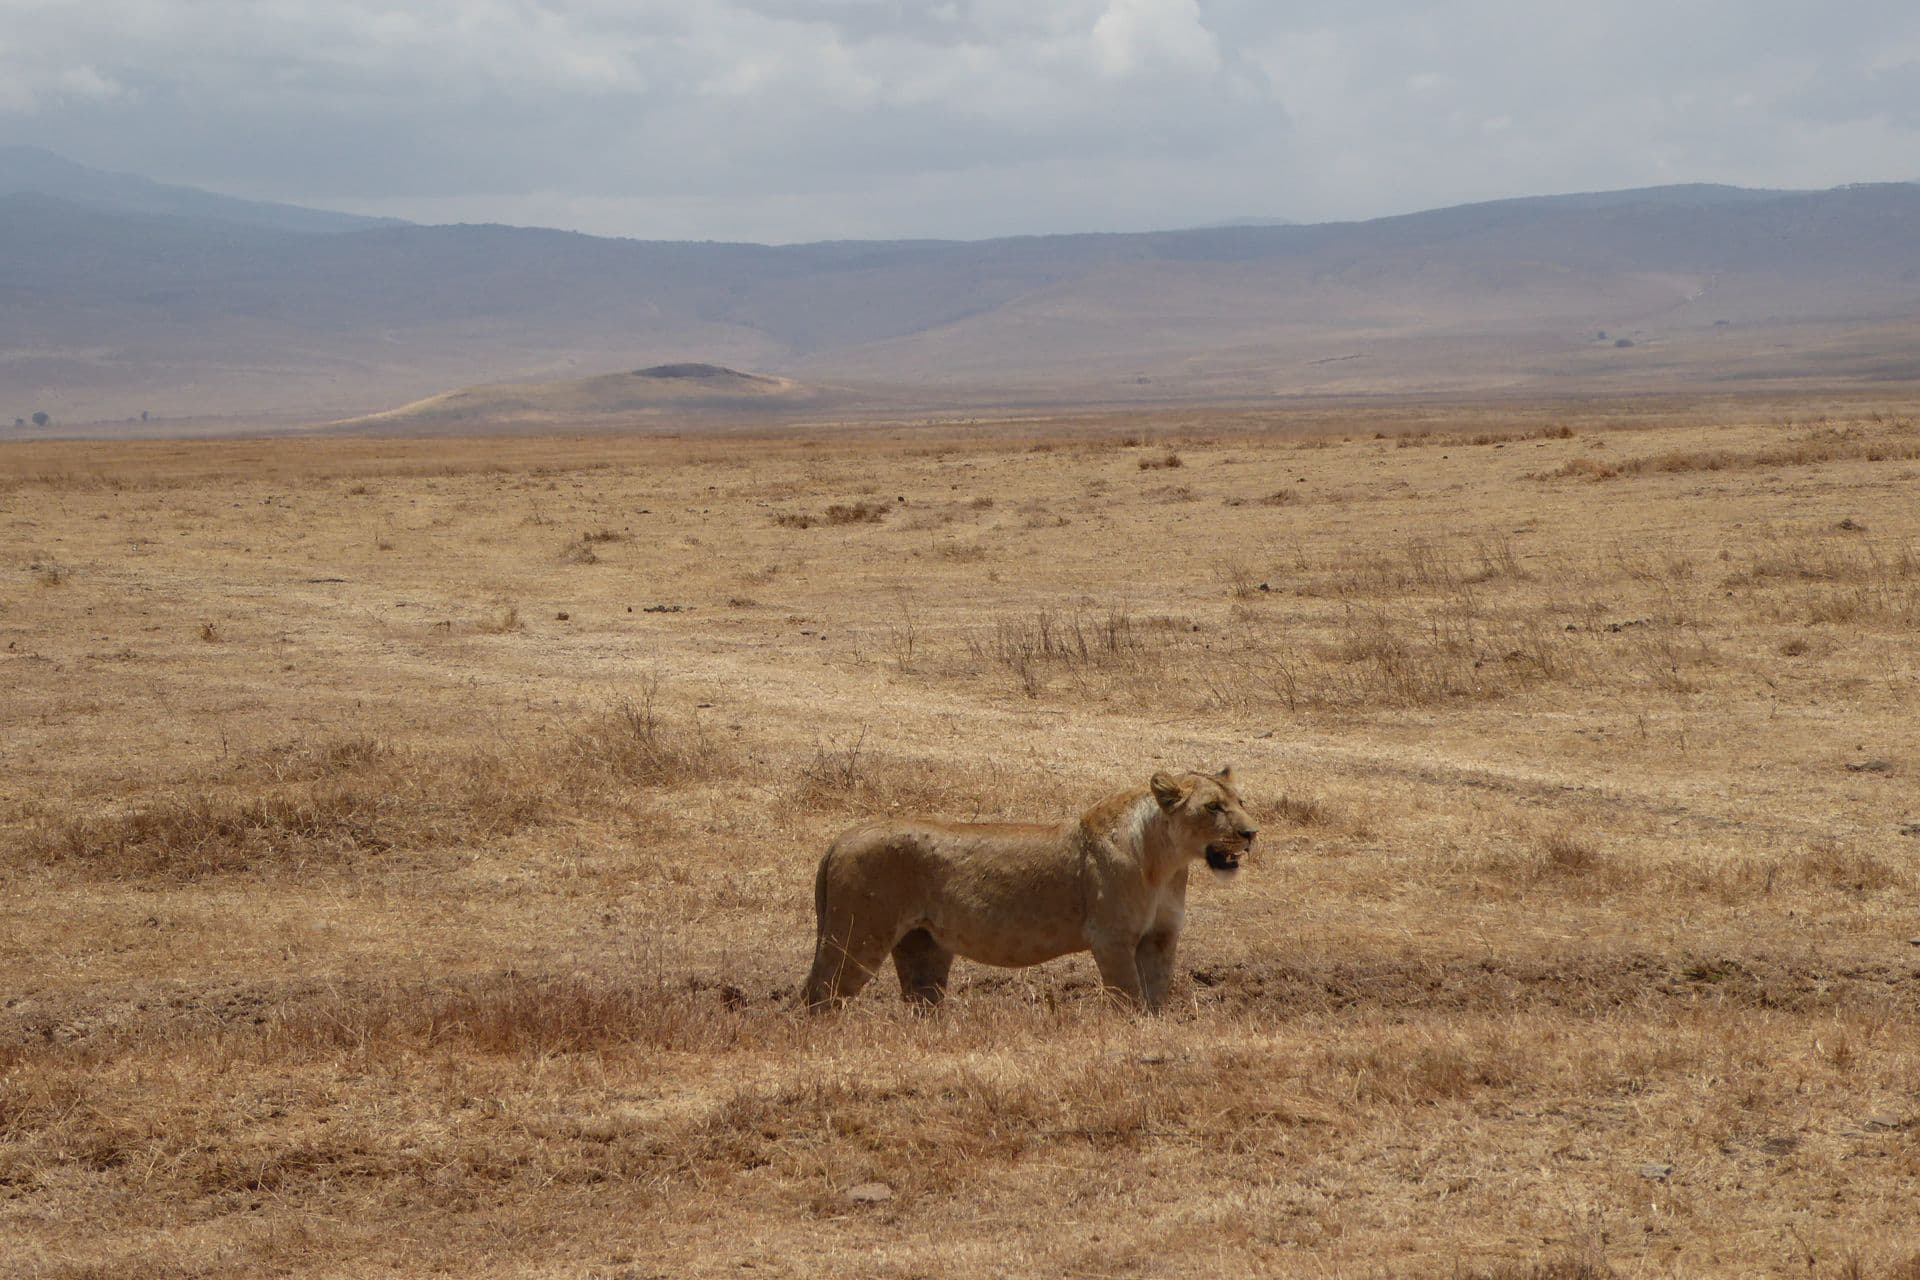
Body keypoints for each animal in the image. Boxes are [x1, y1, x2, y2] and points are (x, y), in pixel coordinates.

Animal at [803, 767, 1256, 1013]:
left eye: (1240, 802)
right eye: (1212, 807)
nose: (1251, 833)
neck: (1167, 863)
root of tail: (840, 839)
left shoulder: (1161, 938)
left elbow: (1156, 998)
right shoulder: (1110, 938)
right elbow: (1128, 998)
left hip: (922, 948)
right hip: (858, 936)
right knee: (820, 995)